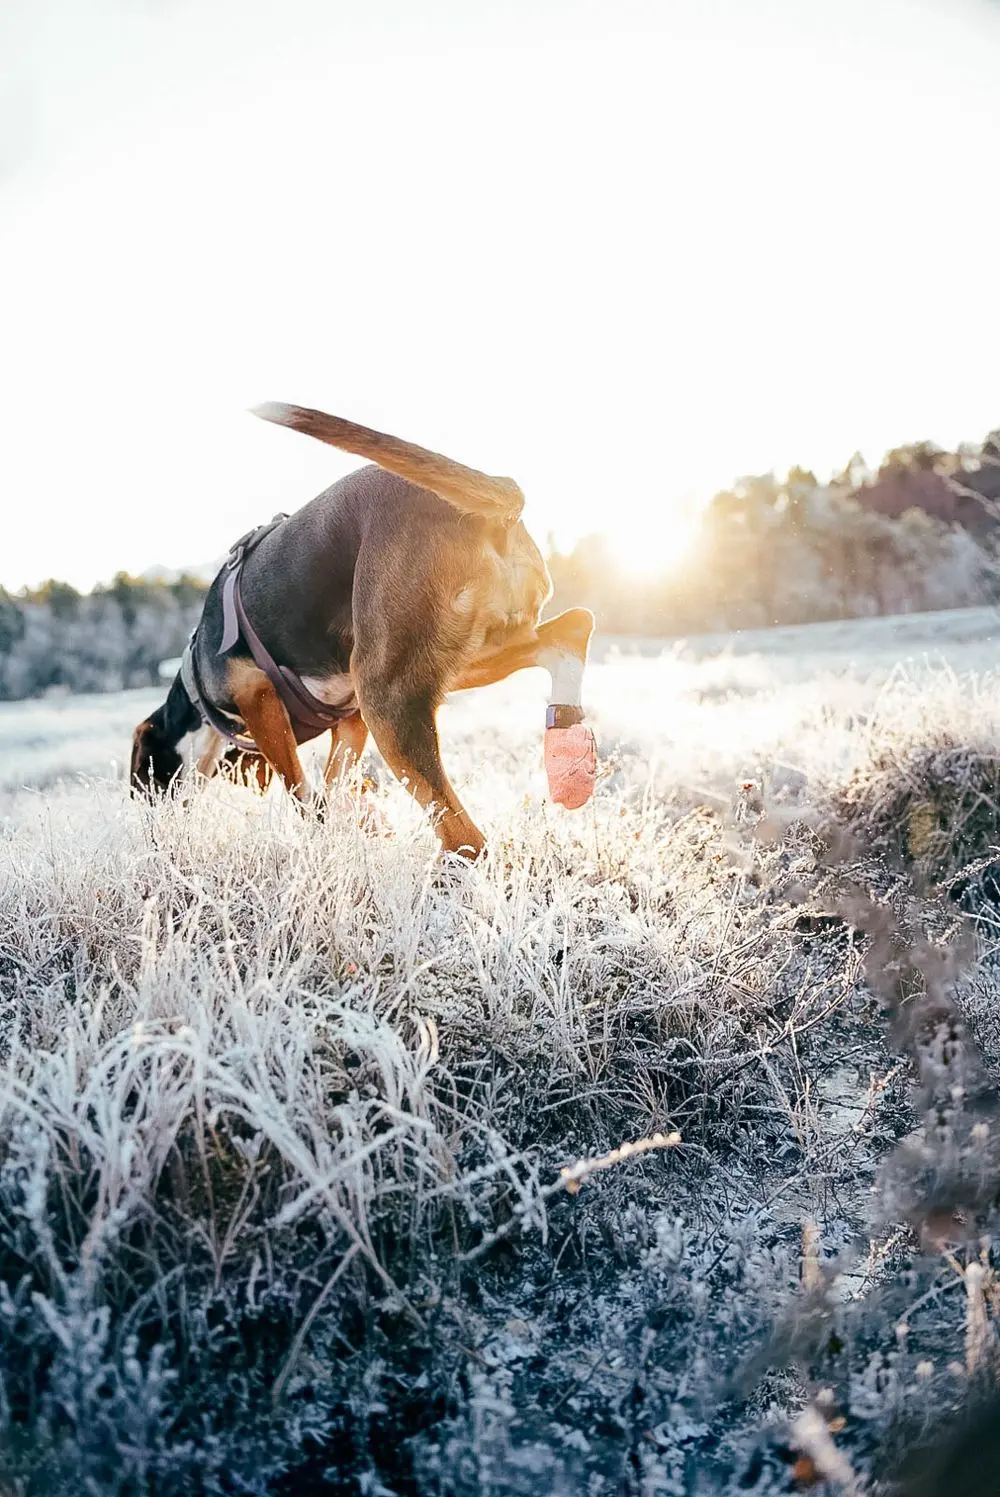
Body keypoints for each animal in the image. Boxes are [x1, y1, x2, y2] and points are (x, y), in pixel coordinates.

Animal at [131, 404, 592, 862]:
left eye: (144, 781)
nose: (152, 839)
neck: (195, 686)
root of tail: (493, 510)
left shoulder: (260, 700)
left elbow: (301, 790)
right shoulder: (350, 721)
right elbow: (334, 785)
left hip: (386, 694)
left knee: (466, 839)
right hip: (453, 657)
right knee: (571, 630)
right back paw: (568, 757)